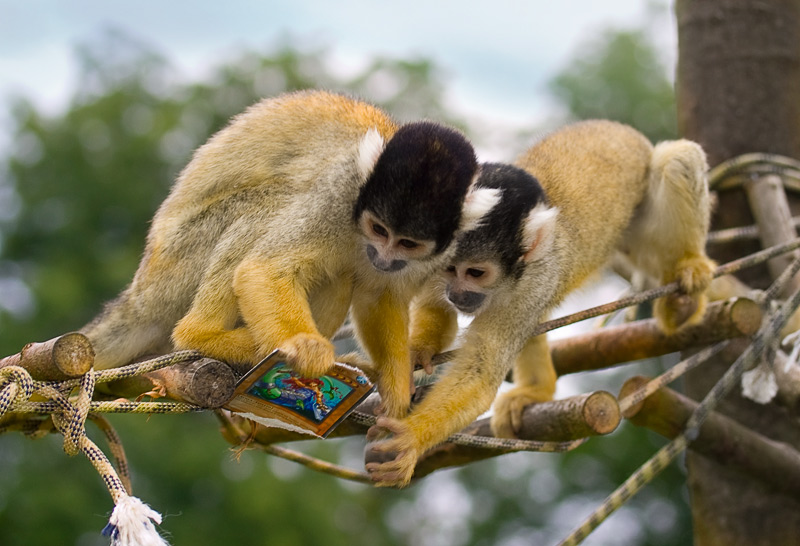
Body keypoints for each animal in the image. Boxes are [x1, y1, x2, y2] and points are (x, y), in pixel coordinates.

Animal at [79, 89, 494, 416]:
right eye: (379, 229)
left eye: (407, 243)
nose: (384, 257)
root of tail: (140, 291)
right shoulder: (339, 192)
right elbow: (264, 270)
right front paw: (305, 348)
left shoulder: (442, 248)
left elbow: (381, 295)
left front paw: (396, 385)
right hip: (177, 263)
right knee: (269, 205)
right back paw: (211, 336)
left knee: (342, 274)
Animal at [366, 120, 716, 484]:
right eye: (450, 269)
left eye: (476, 273)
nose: (457, 294)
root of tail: (620, 128)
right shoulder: (428, 261)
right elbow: (436, 310)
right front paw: (417, 351)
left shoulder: (533, 281)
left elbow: (482, 368)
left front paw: (411, 439)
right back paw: (538, 391)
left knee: (678, 159)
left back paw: (687, 281)